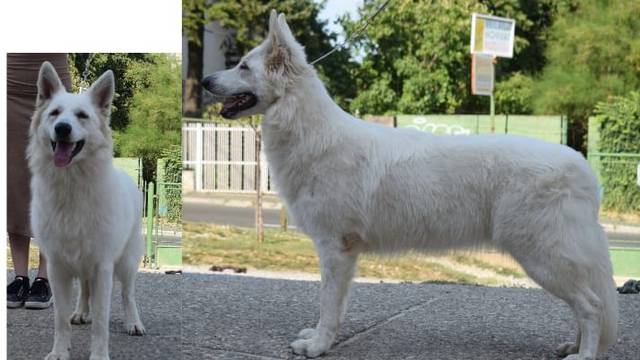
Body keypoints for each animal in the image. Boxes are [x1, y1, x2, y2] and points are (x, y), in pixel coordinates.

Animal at [28, 62, 146, 360]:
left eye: (82, 116)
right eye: (55, 113)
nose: (62, 128)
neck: (72, 187)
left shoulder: (102, 266)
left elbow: (102, 321)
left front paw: (99, 354)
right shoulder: (57, 267)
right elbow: (60, 319)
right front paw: (60, 352)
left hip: (126, 263)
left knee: (128, 295)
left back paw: (133, 322)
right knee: (84, 289)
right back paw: (81, 312)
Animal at [202, 11, 616, 360]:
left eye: (243, 66)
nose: (205, 81)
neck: (311, 133)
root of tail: (585, 170)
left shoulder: (335, 249)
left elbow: (328, 305)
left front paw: (317, 346)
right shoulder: (342, 254)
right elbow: (336, 306)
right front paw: (321, 339)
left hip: (542, 257)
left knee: (592, 306)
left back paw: (584, 355)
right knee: (589, 305)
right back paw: (574, 346)